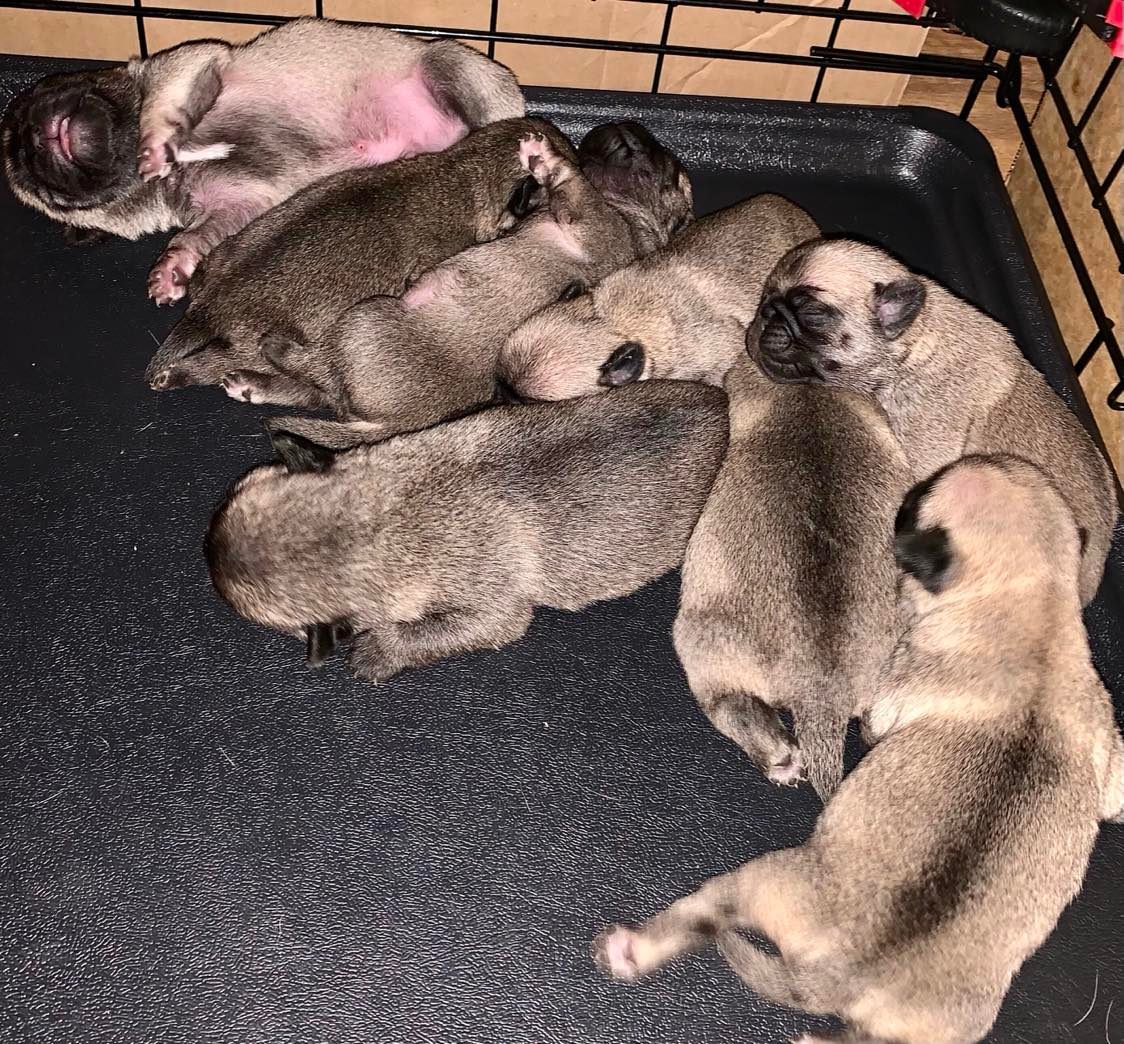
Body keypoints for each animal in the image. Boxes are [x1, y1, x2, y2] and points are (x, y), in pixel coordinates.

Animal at [3, 18, 523, 303]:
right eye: (42, 190)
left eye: (43, 94)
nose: (30, 138)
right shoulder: (233, 208)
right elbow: (195, 237)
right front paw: (173, 266)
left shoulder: (187, 66)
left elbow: (160, 105)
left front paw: (155, 142)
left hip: (449, 66)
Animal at [205, 380, 728, 683]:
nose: (207, 548)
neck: (380, 521)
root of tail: (722, 402)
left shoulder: (495, 612)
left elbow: (427, 632)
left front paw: (376, 652)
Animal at [594, 454, 1124, 1044]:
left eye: (918, 502)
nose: (903, 502)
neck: (1038, 609)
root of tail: (841, 975)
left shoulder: (894, 690)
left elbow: (874, 723)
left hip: (760, 878)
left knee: (700, 912)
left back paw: (628, 950)